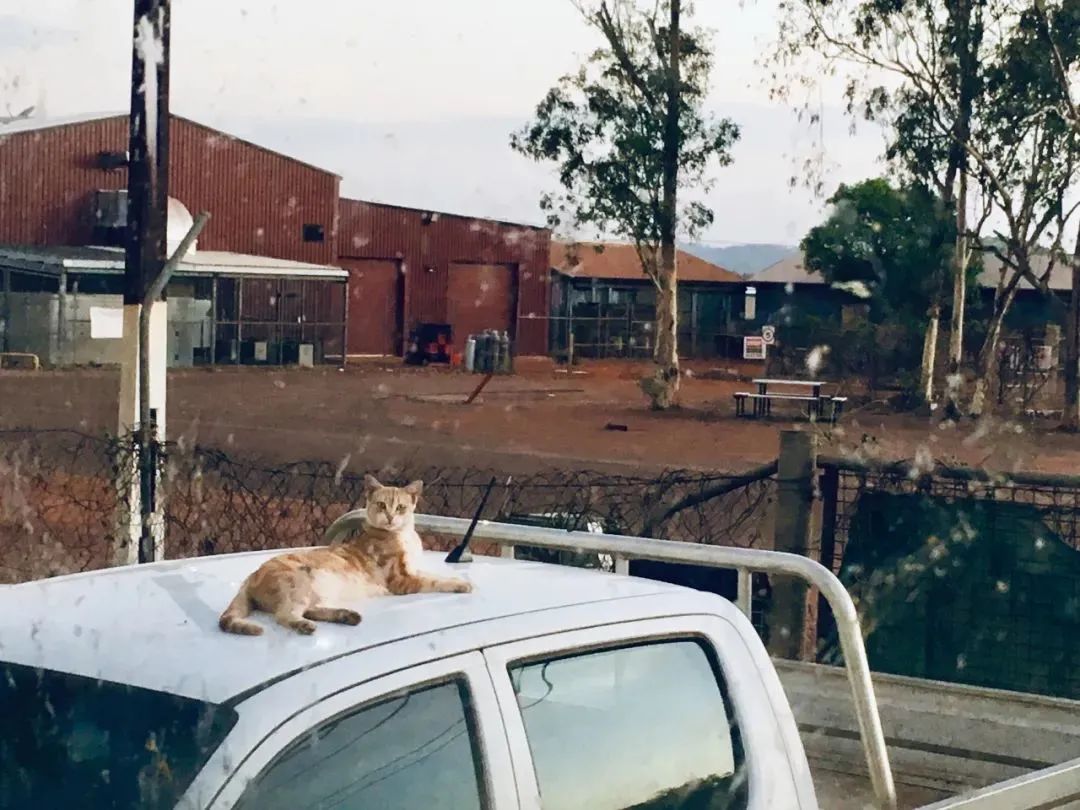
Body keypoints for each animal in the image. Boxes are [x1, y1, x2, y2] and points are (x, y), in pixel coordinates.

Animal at [219, 475, 473, 639]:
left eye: (400, 507)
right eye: (381, 505)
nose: (390, 517)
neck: (403, 535)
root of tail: (251, 576)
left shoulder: (412, 570)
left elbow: (434, 574)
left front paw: (458, 579)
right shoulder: (402, 580)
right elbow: (434, 581)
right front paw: (461, 584)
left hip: (316, 591)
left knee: (311, 609)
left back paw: (347, 616)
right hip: (298, 582)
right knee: (285, 615)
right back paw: (305, 625)